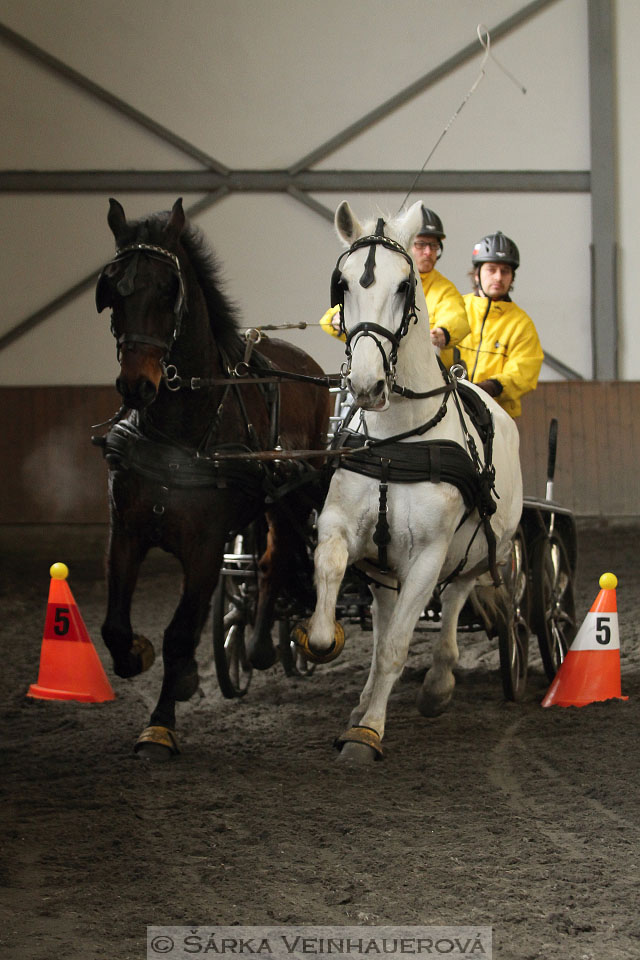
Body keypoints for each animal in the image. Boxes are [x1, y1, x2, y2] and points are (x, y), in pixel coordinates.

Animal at [99, 199, 336, 760]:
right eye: (113, 290)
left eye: (170, 289)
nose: (137, 385)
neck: (180, 427)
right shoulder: (126, 530)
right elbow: (115, 625)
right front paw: (138, 657)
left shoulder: (206, 545)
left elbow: (180, 632)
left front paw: (161, 724)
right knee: (269, 564)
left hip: (289, 496)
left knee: (277, 560)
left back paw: (262, 646)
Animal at [304, 199, 520, 760]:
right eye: (342, 283)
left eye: (405, 285)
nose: (366, 385)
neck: (394, 443)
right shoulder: (338, 526)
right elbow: (333, 575)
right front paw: (322, 641)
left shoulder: (428, 554)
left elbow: (400, 644)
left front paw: (367, 733)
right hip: (384, 568)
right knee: (385, 615)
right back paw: (365, 697)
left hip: (474, 553)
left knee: (454, 605)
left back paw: (438, 687)